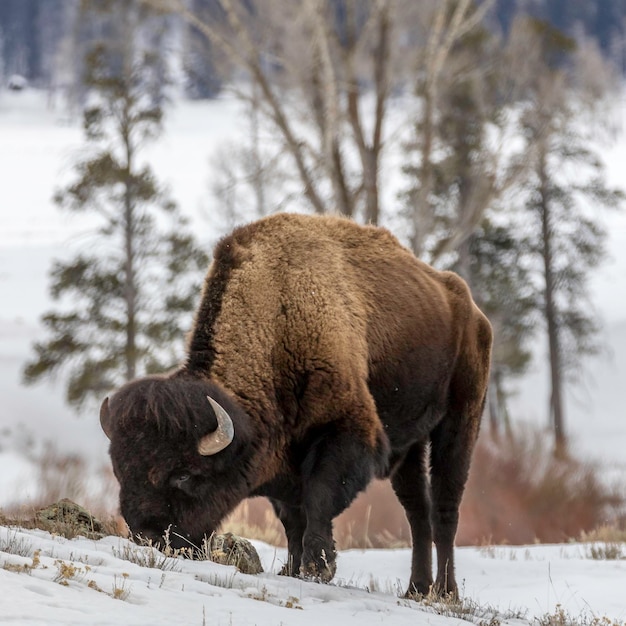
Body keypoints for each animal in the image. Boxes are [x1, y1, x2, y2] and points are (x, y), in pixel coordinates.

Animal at [100, 212, 490, 596]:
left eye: (184, 474)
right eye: (120, 470)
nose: (149, 537)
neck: (277, 315)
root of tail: (470, 309)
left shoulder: (345, 432)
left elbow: (319, 500)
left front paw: (318, 568)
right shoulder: (281, 457)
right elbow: (292, 518)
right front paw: (292, 568)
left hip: (461, 420)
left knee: (445, 507)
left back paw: (446, 592)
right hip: (409, 446)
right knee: (416, 510)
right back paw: (416, 589)